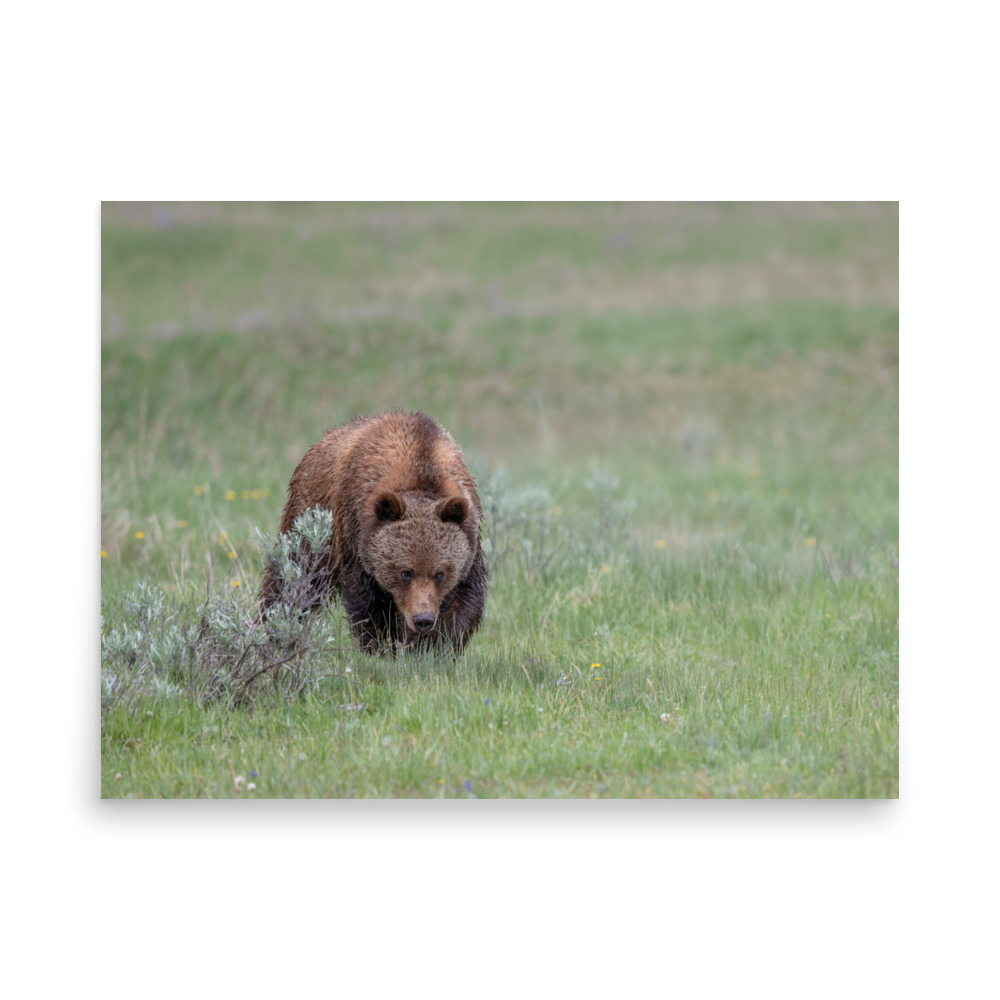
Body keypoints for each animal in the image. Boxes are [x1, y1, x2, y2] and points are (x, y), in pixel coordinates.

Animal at [259, 411, 487, 654]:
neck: (421, 470)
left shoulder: (469, 541)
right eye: (405, 572)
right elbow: (369, 602)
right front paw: (382, 647)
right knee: (293, 577)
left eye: (440, 573)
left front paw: (431, 648)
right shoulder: (355, 534)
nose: (423, 619)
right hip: (311, 519)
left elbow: (462, 601)